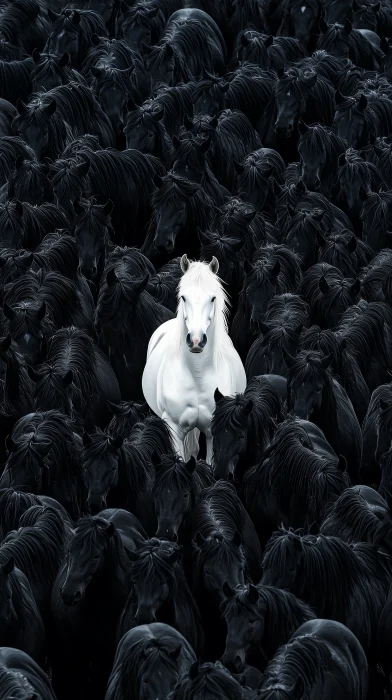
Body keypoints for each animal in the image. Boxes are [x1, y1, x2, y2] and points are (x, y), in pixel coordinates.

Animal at [142, 254, 245, 462]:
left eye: (213, 298)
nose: (196, 341)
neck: (197, 373)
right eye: (183, 297)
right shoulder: (173, 430)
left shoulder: (214, 431)